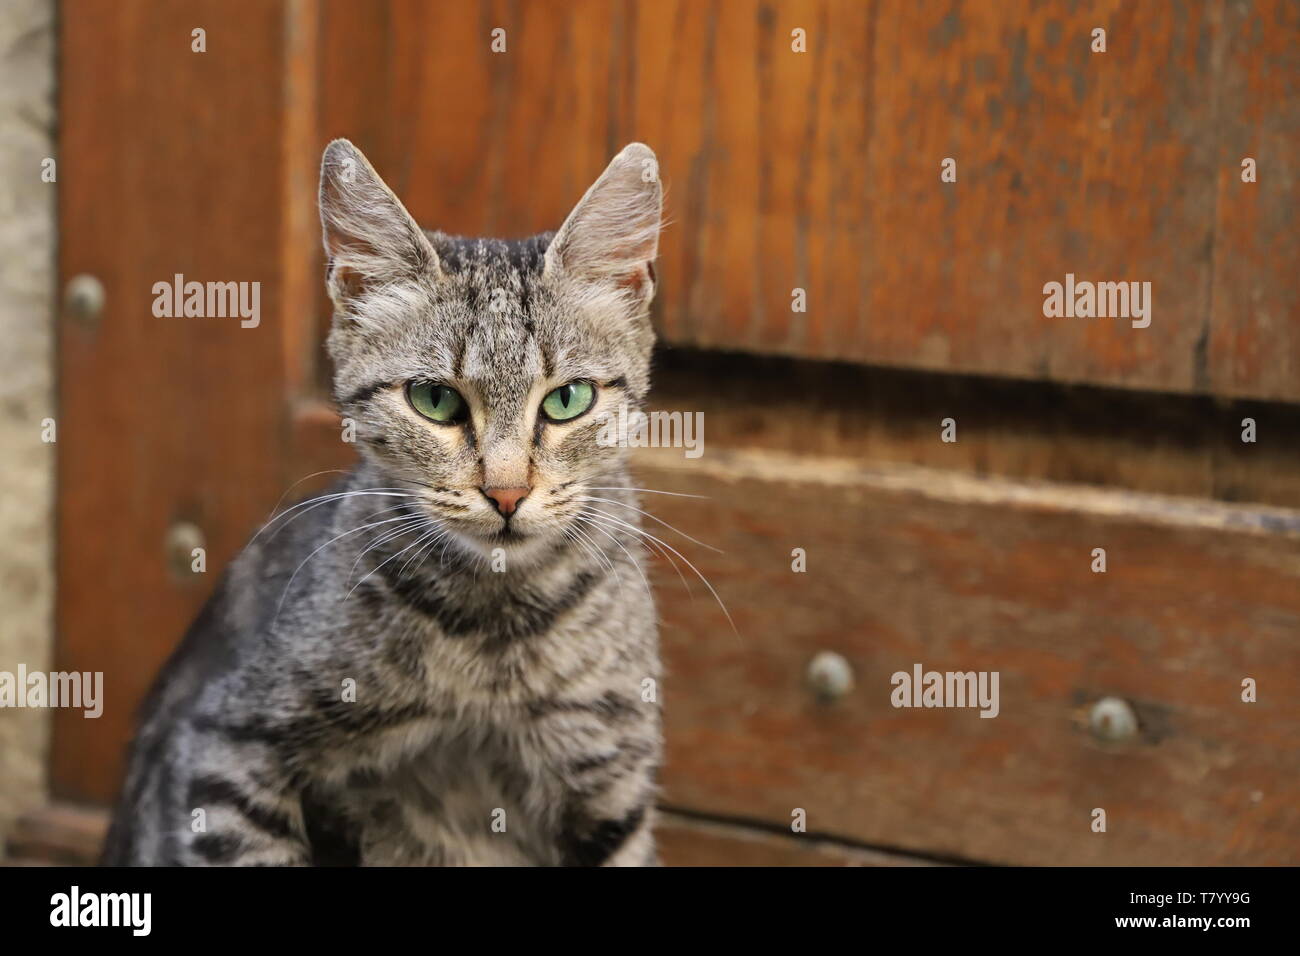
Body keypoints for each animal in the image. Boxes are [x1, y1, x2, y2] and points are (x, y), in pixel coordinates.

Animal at [100, 140, 665, 868]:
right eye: (435, 400)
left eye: (568, 399)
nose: (506, 492)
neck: (495, 635)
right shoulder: (227, 748)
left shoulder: (610, 782)